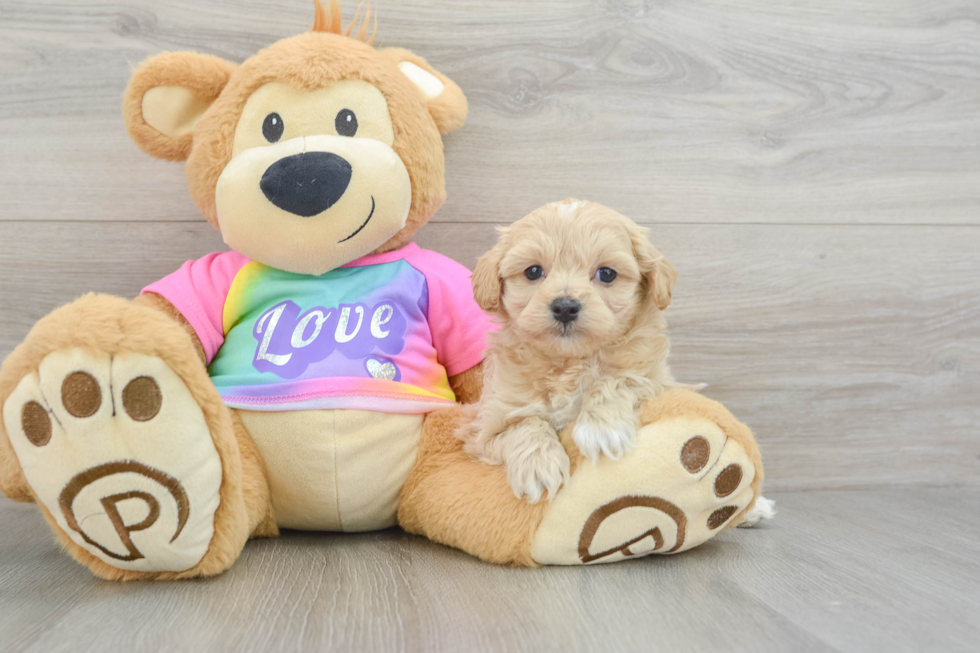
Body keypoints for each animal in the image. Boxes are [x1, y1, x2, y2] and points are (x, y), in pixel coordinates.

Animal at [462, 197, 676, 500]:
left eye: (607, 273)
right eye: (533, 271)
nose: (565, 307)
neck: (568, 362)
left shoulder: (659, 381)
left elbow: (618, 379)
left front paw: (600, 428)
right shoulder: (485, 427)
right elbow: (523, 423)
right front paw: (539, 465)